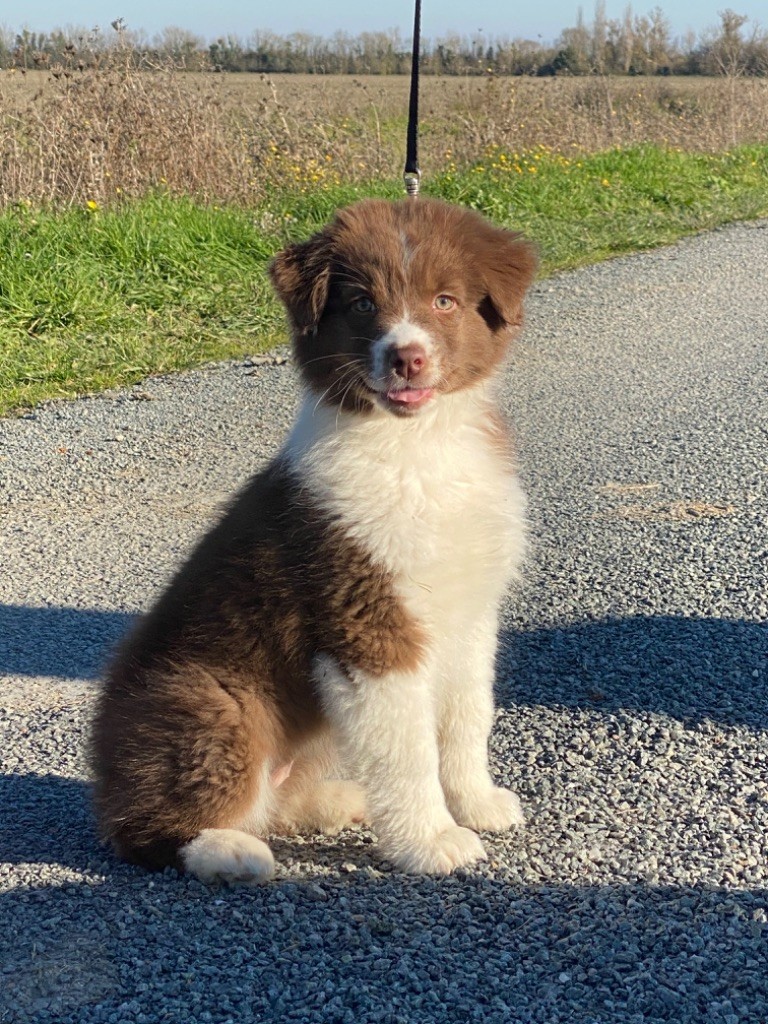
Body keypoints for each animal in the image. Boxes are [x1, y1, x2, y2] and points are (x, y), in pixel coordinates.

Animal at [90, 197, 536, 880]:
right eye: (361, 304)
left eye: (444, 301)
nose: (406, 358)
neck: (415, 447)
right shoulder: (365, 619)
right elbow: (407, 747)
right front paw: (432, 839)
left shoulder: (470, 612)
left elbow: (466, 716)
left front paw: (476, 803)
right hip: (211, 700)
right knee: (146, 831)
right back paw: (230, 851)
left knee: (275, 802)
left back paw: (336, 801)